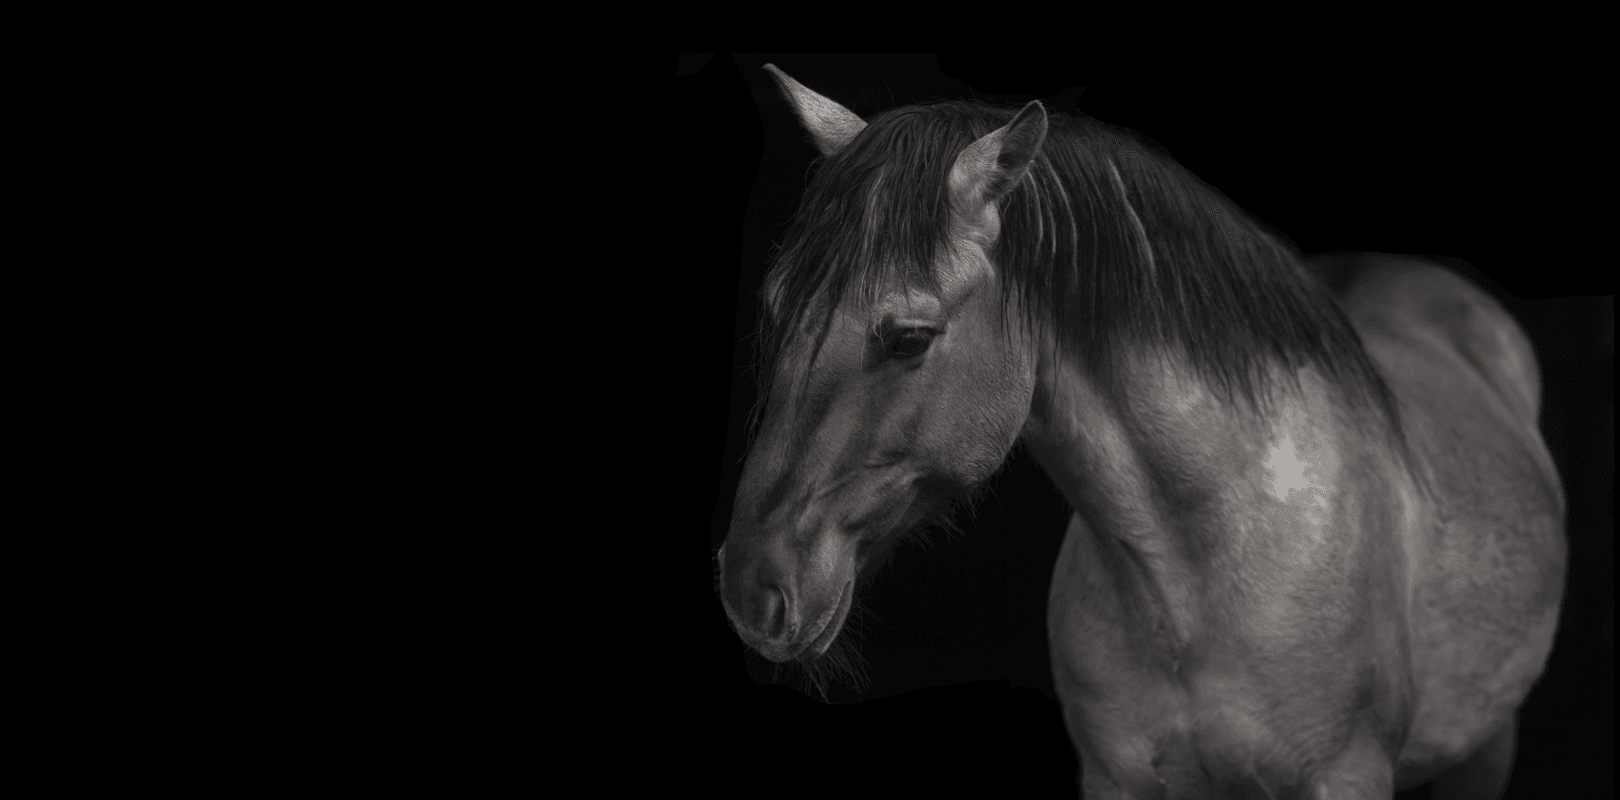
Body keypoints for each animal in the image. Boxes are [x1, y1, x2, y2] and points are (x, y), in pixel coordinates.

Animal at [714, 64, 1566, 799]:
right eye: (776, 306)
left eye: (910, 338)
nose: (751, 587)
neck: (1195, 577)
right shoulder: (1118, 779)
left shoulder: (1346, 777)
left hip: (1487, 746)